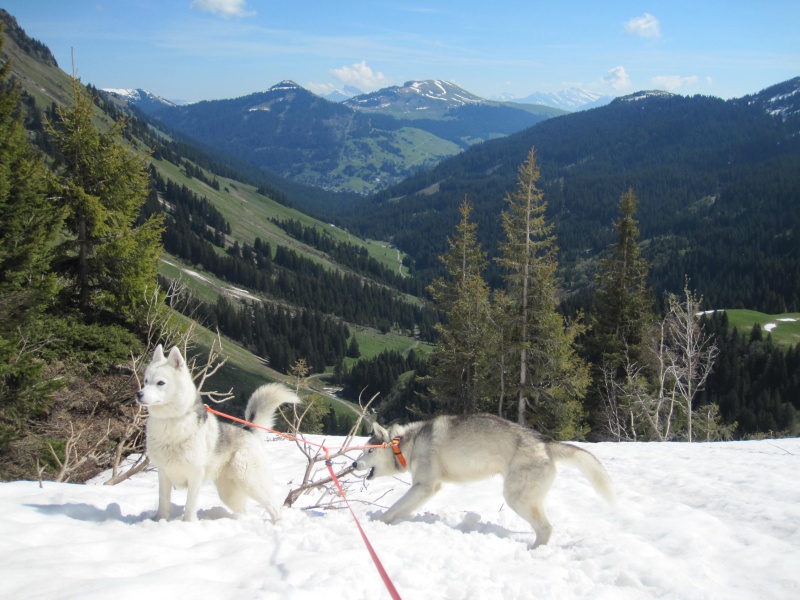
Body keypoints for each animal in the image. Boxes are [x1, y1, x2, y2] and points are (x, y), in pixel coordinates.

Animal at [136, 344, 298, 524]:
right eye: (146, 381)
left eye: (160, 383)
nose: (139, 394)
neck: (171, 422)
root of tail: (249, 431)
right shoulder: (164, 475)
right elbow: (163, 503)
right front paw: (159, 521)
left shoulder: (195, 477)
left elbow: (190, 506)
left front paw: (188, 524)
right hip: (229, 494)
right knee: (244, 510)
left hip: (252, 483)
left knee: (274, 508)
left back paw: (278, 524)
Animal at [354, 414, 612, 548]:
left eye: (368, 451)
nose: (354, 465)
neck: (408, 444)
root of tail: (545, 443)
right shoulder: (424, 489)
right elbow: (402, 508)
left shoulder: (425, 486)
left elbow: (394, 506)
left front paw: (378, 521)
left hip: (516, 498)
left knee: (546, 528)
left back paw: (534, 550)